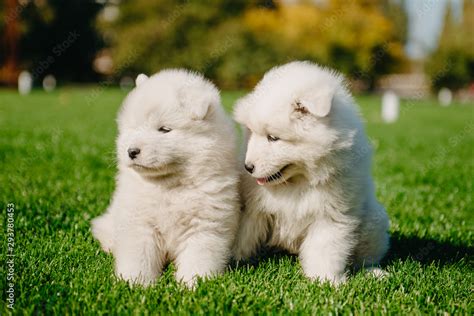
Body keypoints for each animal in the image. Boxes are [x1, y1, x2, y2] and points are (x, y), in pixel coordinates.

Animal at [91, 69, 241, 286]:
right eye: (134, 128)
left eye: (164, 129)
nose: (131, 151)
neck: (169, 185)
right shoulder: (140, 223)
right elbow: (139, 257)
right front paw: (135, 282)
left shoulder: (205, 225)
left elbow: (198, 258)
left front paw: (193, 284)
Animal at [232, 61, 388, 284]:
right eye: (252, 133)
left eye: (273, 138)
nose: (248, 167)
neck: (299, 181)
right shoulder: (254, 210)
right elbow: (243, 237)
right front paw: (231, 262)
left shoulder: (330, 215)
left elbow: (325, 250)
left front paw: (327, 281)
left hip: (373, 222)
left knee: (366, 257)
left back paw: (374, 272)